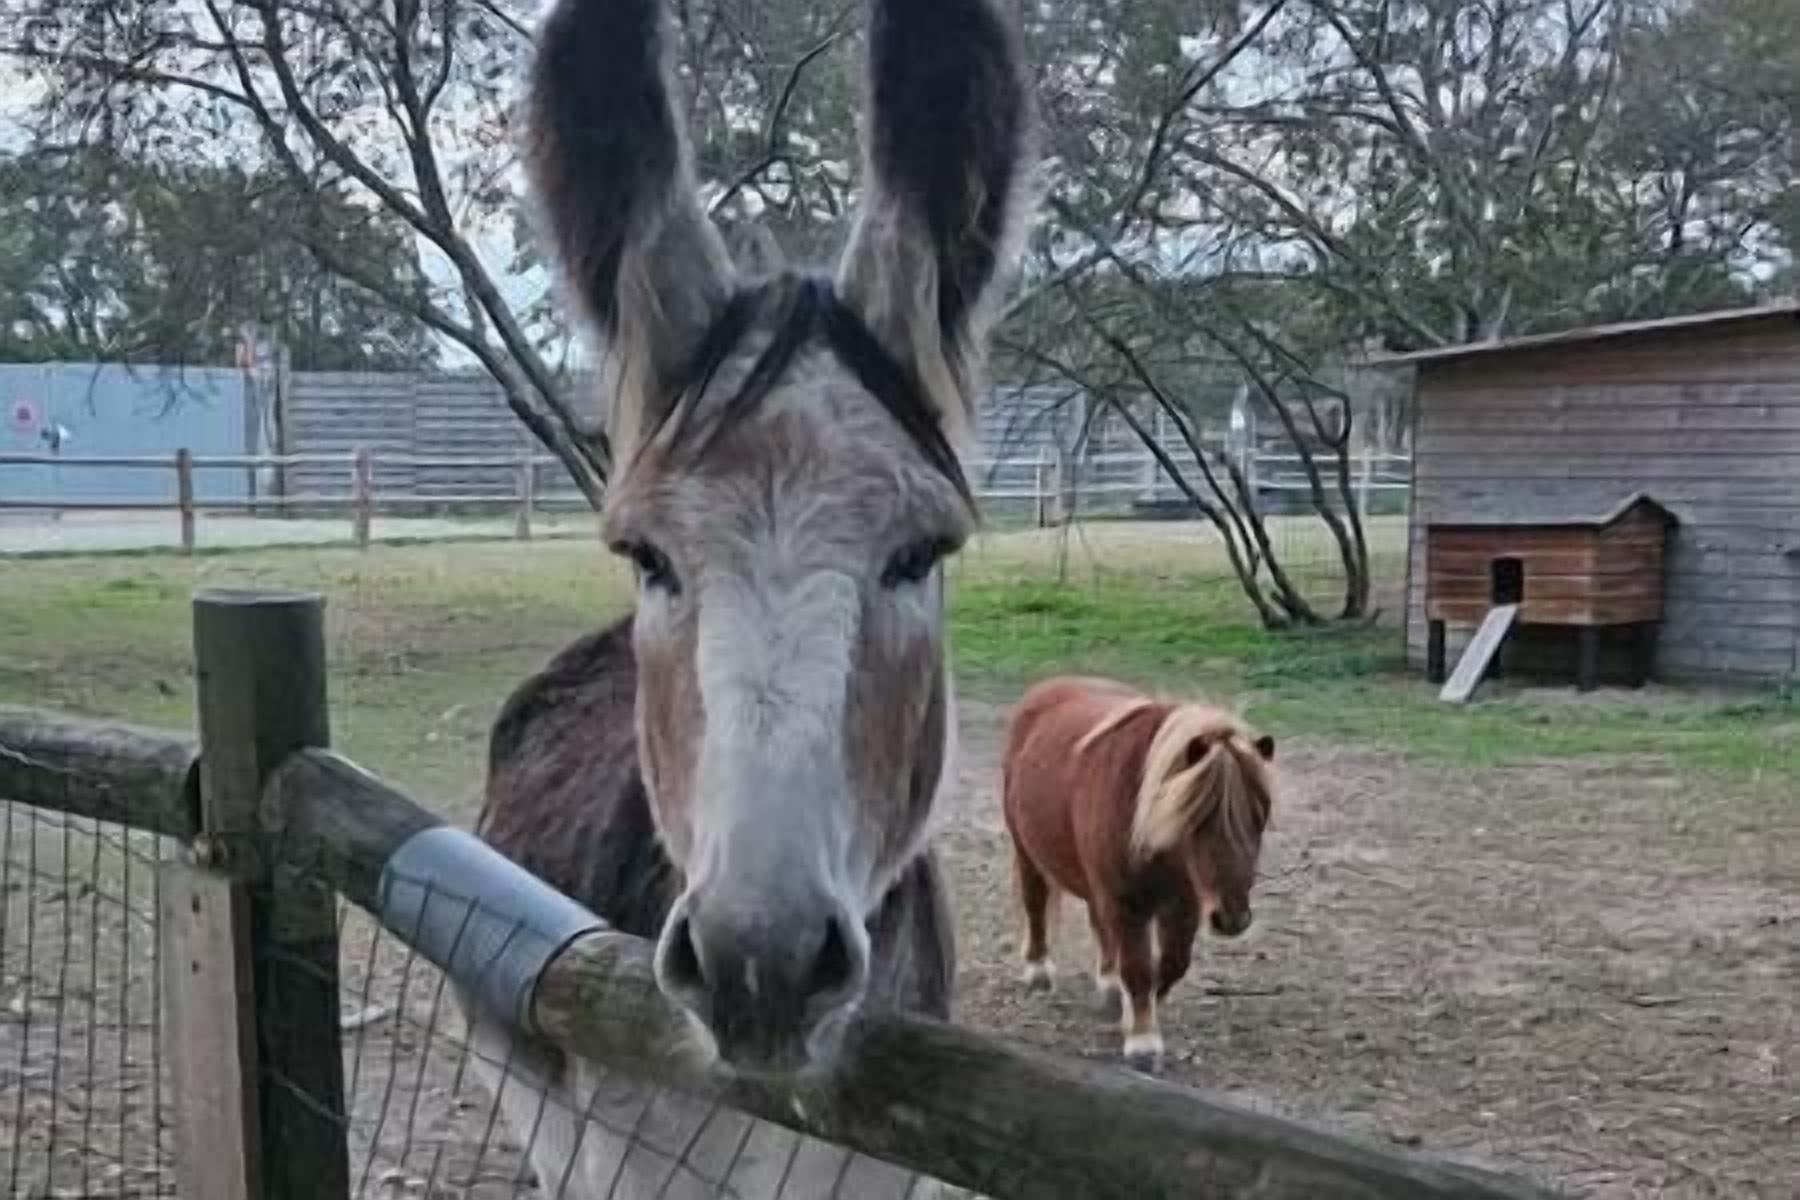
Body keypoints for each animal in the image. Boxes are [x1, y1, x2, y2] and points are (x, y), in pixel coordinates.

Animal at [1000, 676, 1276, 1072]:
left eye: (1261, 815)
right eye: (1198, 817)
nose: (1232, 919)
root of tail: (1048, 688)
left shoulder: (1183, 903)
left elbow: (1171, 964)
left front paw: (1134, 1018)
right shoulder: (1125, 900)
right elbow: (1138, 966)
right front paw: (1143, 1042)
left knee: (1100, 927)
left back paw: (1109, 985)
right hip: (1028, 851)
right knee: (1035, 903)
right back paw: (1038, 971)